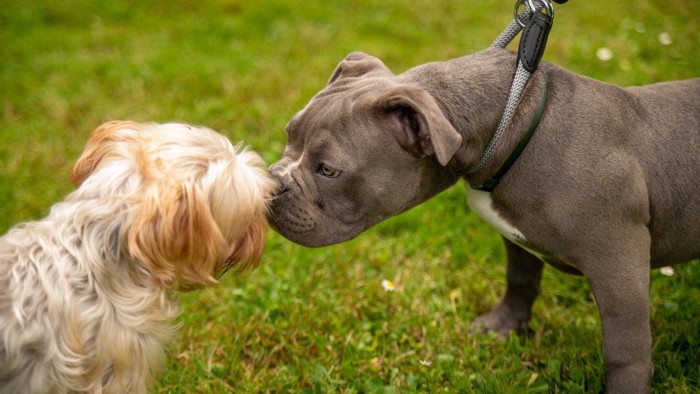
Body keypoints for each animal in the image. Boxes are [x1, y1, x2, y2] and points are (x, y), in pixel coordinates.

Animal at [270, 47, 700, 392]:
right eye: (289, 133)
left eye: (328, 170)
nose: (271, 184)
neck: (511, 122)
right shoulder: (515, 234)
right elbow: (520, 279)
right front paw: (504, 326)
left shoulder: (618, 261)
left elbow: (624, 346)